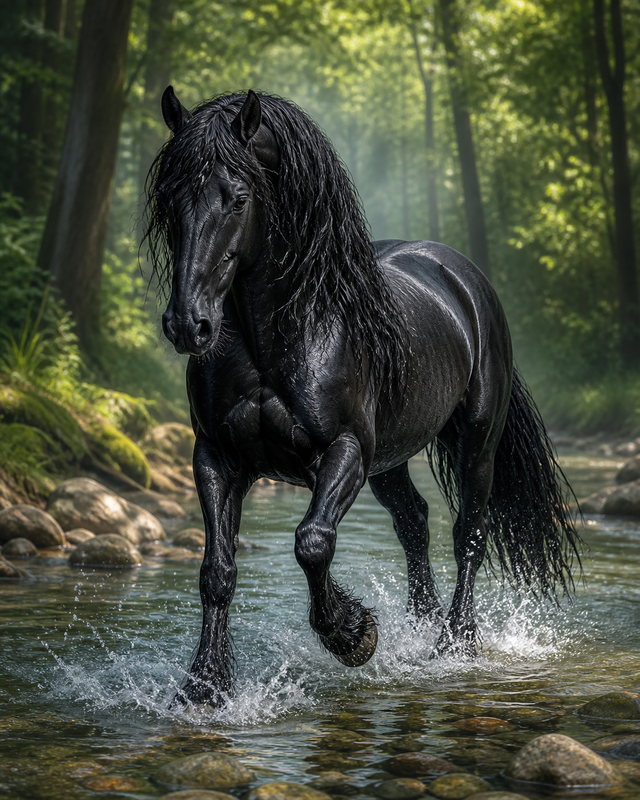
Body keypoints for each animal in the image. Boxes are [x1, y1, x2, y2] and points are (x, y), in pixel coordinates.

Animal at [143, 87, 581, 707]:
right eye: (167, 198)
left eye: (237, 198)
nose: (188, 324)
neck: (280, 337)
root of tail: (465, 279)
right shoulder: (217, 457)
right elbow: (216, 571)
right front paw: (205, 686)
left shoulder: (343, 450)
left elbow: (312, 543)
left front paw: (353, 634)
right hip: (390, 460)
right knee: (415, 522)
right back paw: (421, 628)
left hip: (475, 443)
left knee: (468, 534)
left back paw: (456, 643)